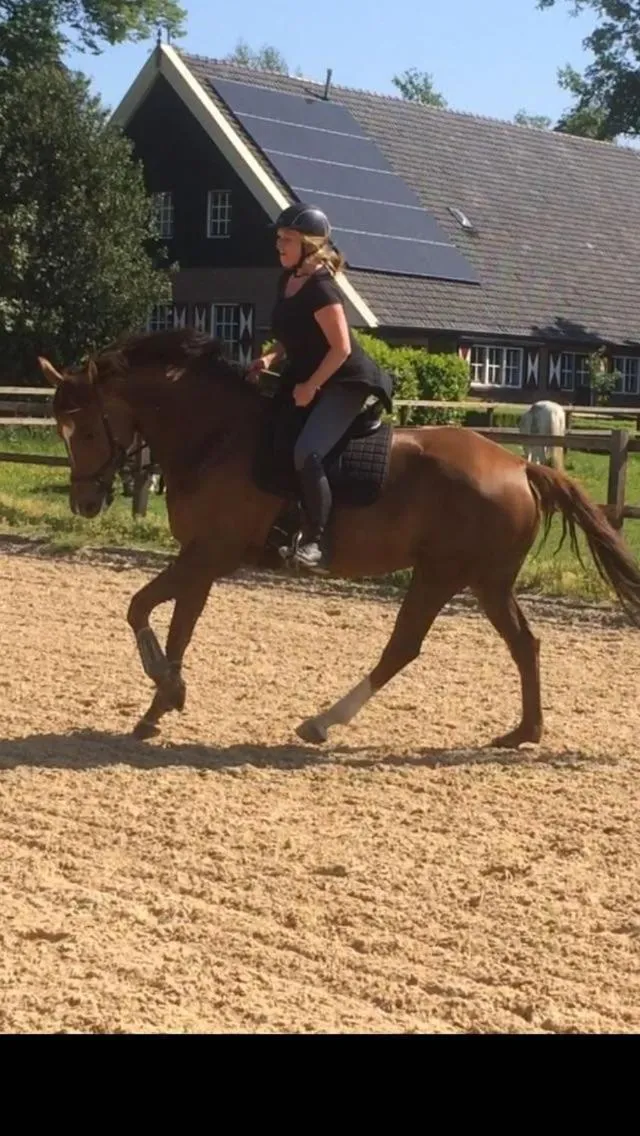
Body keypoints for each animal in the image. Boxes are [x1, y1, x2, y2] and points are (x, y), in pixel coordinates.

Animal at [37, 328, 640, 749]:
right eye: (61, 432)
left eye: (85, 430)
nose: (84, 504)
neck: (214, 436)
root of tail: (519, 466)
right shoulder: (200, 559)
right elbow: (165, 619)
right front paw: (160, 704)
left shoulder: (208, 554)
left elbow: (151, 613)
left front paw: (165, 692)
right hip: (483, 581)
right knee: (519, 644)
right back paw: (523, 733)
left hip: (447, 574)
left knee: (406, 647)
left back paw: (322, 721)